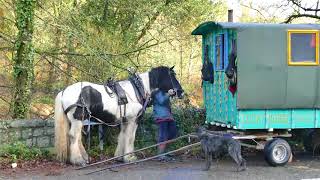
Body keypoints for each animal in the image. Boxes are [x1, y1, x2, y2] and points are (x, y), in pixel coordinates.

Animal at [54, 65, 184, 165]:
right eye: (172, 76)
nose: (181, 92)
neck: (137, 89)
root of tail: (64, 91)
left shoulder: (124, 120)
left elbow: (122, 136)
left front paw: (120, 157)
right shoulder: (133, 120)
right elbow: (130, 137)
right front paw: (130, 157)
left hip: (78, 120)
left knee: (77, 137)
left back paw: (84, 157)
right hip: (78, 119)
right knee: (73, 136)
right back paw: (78, 160)